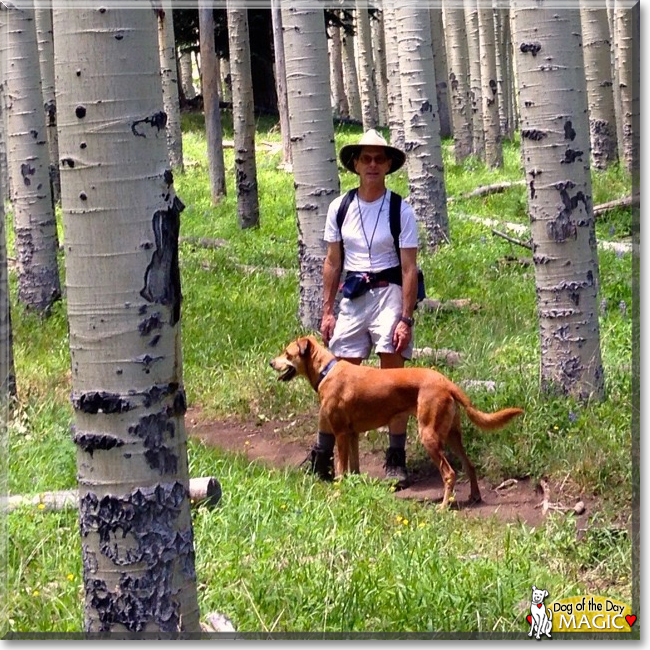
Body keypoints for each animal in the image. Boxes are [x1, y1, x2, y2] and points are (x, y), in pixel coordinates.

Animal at [268, 334, 520, 506]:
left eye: (287, 354)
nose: (271, 363)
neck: (326, 371)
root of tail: (447, 382)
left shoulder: (340, 433)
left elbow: (340, 468)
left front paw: (338, 490)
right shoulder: (352, 434)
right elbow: (354, 468)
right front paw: (354, 487)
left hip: (429, 436)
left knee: (449, 473)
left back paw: (443, 507)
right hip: (451, 435)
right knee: (469, 466)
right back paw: (474, 496)